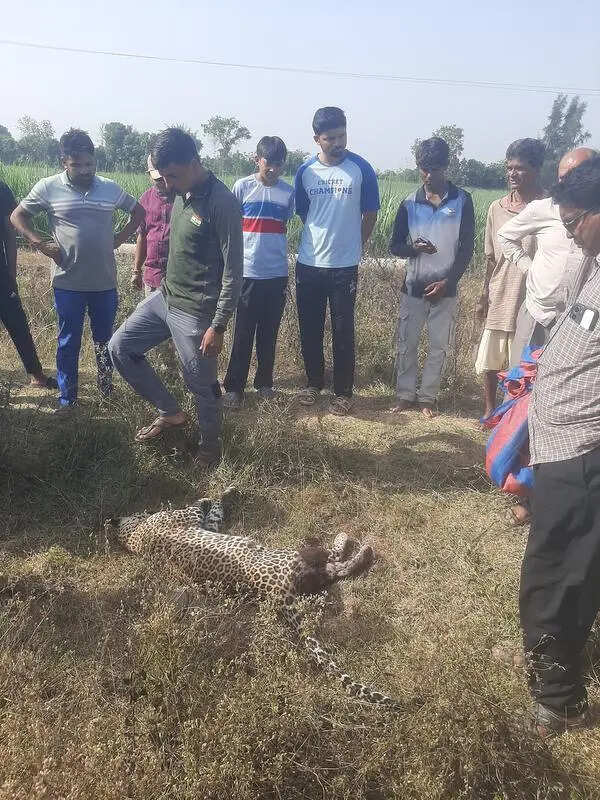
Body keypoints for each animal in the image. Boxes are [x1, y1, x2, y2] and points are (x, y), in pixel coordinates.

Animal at [104, 487, 402, 711]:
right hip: (296, 554)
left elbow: (214, 512)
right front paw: (218, 493)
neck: (133, 538)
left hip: (308, 576)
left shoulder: (208, 524)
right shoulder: (186, 516)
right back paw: (356, 545)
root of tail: (277, 594)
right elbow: (200, 505)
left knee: (335, 570)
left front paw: (225, 492)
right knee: (334, 558)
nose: (142, 509)